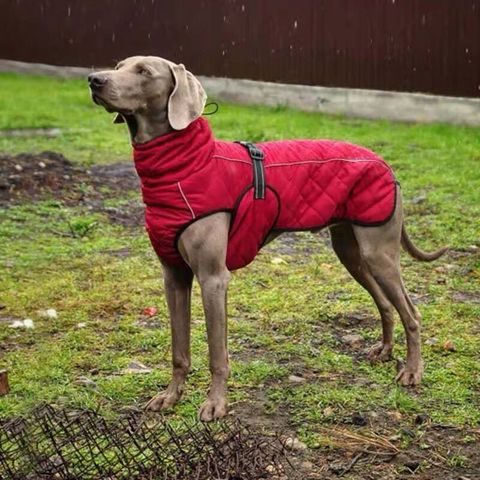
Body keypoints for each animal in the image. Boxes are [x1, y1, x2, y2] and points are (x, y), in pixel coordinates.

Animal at [88, 58, 448, 422]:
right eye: (119, 66)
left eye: (144, 72)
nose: (93, 80)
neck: (184, 169)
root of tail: (385, 163)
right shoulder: (174, 276)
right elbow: (179, 350)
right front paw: (170, 396)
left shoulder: (213, 278)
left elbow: (217, 354)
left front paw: (216, 403)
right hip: (351, 252)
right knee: (386, 303)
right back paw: (385, 351)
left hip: (379, 252)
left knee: (412, 313)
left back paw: (412, 372)